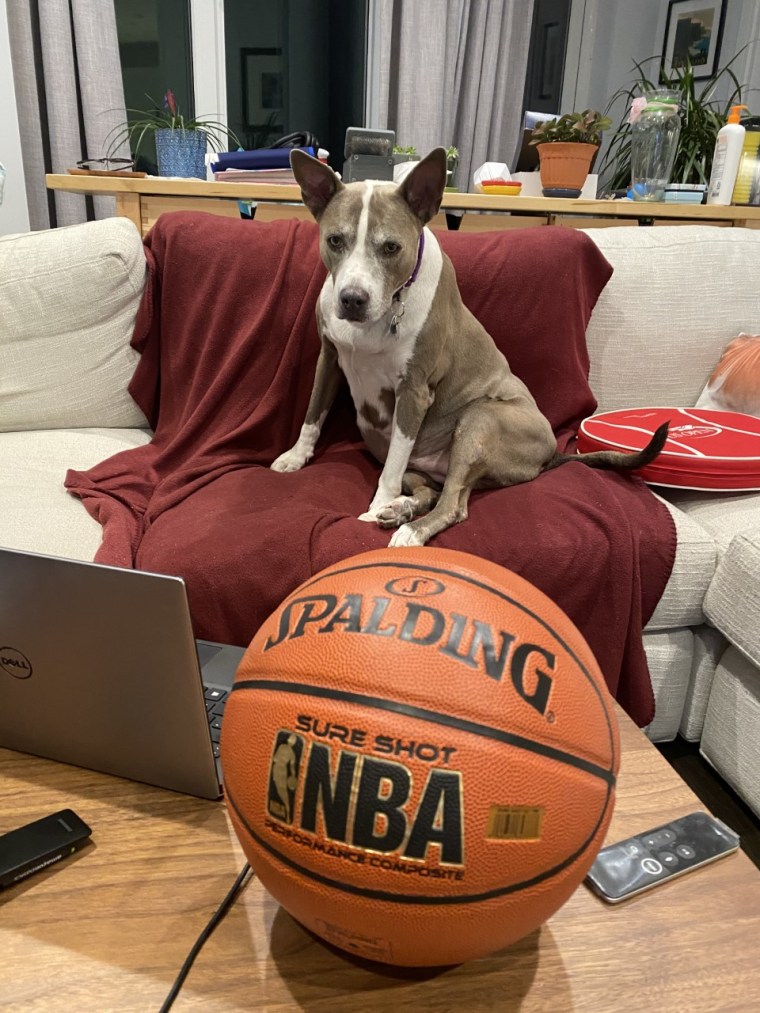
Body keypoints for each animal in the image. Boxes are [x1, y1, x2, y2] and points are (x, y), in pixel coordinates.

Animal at [273, 147, 664, 547]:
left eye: (391, 247)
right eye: (335, 240)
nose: (352, 299)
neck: (389, 307)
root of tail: (553, 452)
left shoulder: (413, 392)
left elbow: (391, 470)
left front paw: (376, 503)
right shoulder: (329, 358)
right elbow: (313, 413)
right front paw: (295, 457)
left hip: (479, 420)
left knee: (453, 504)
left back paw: (408, 528)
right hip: (387, 443)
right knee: (431, 490)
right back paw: (401, 509)